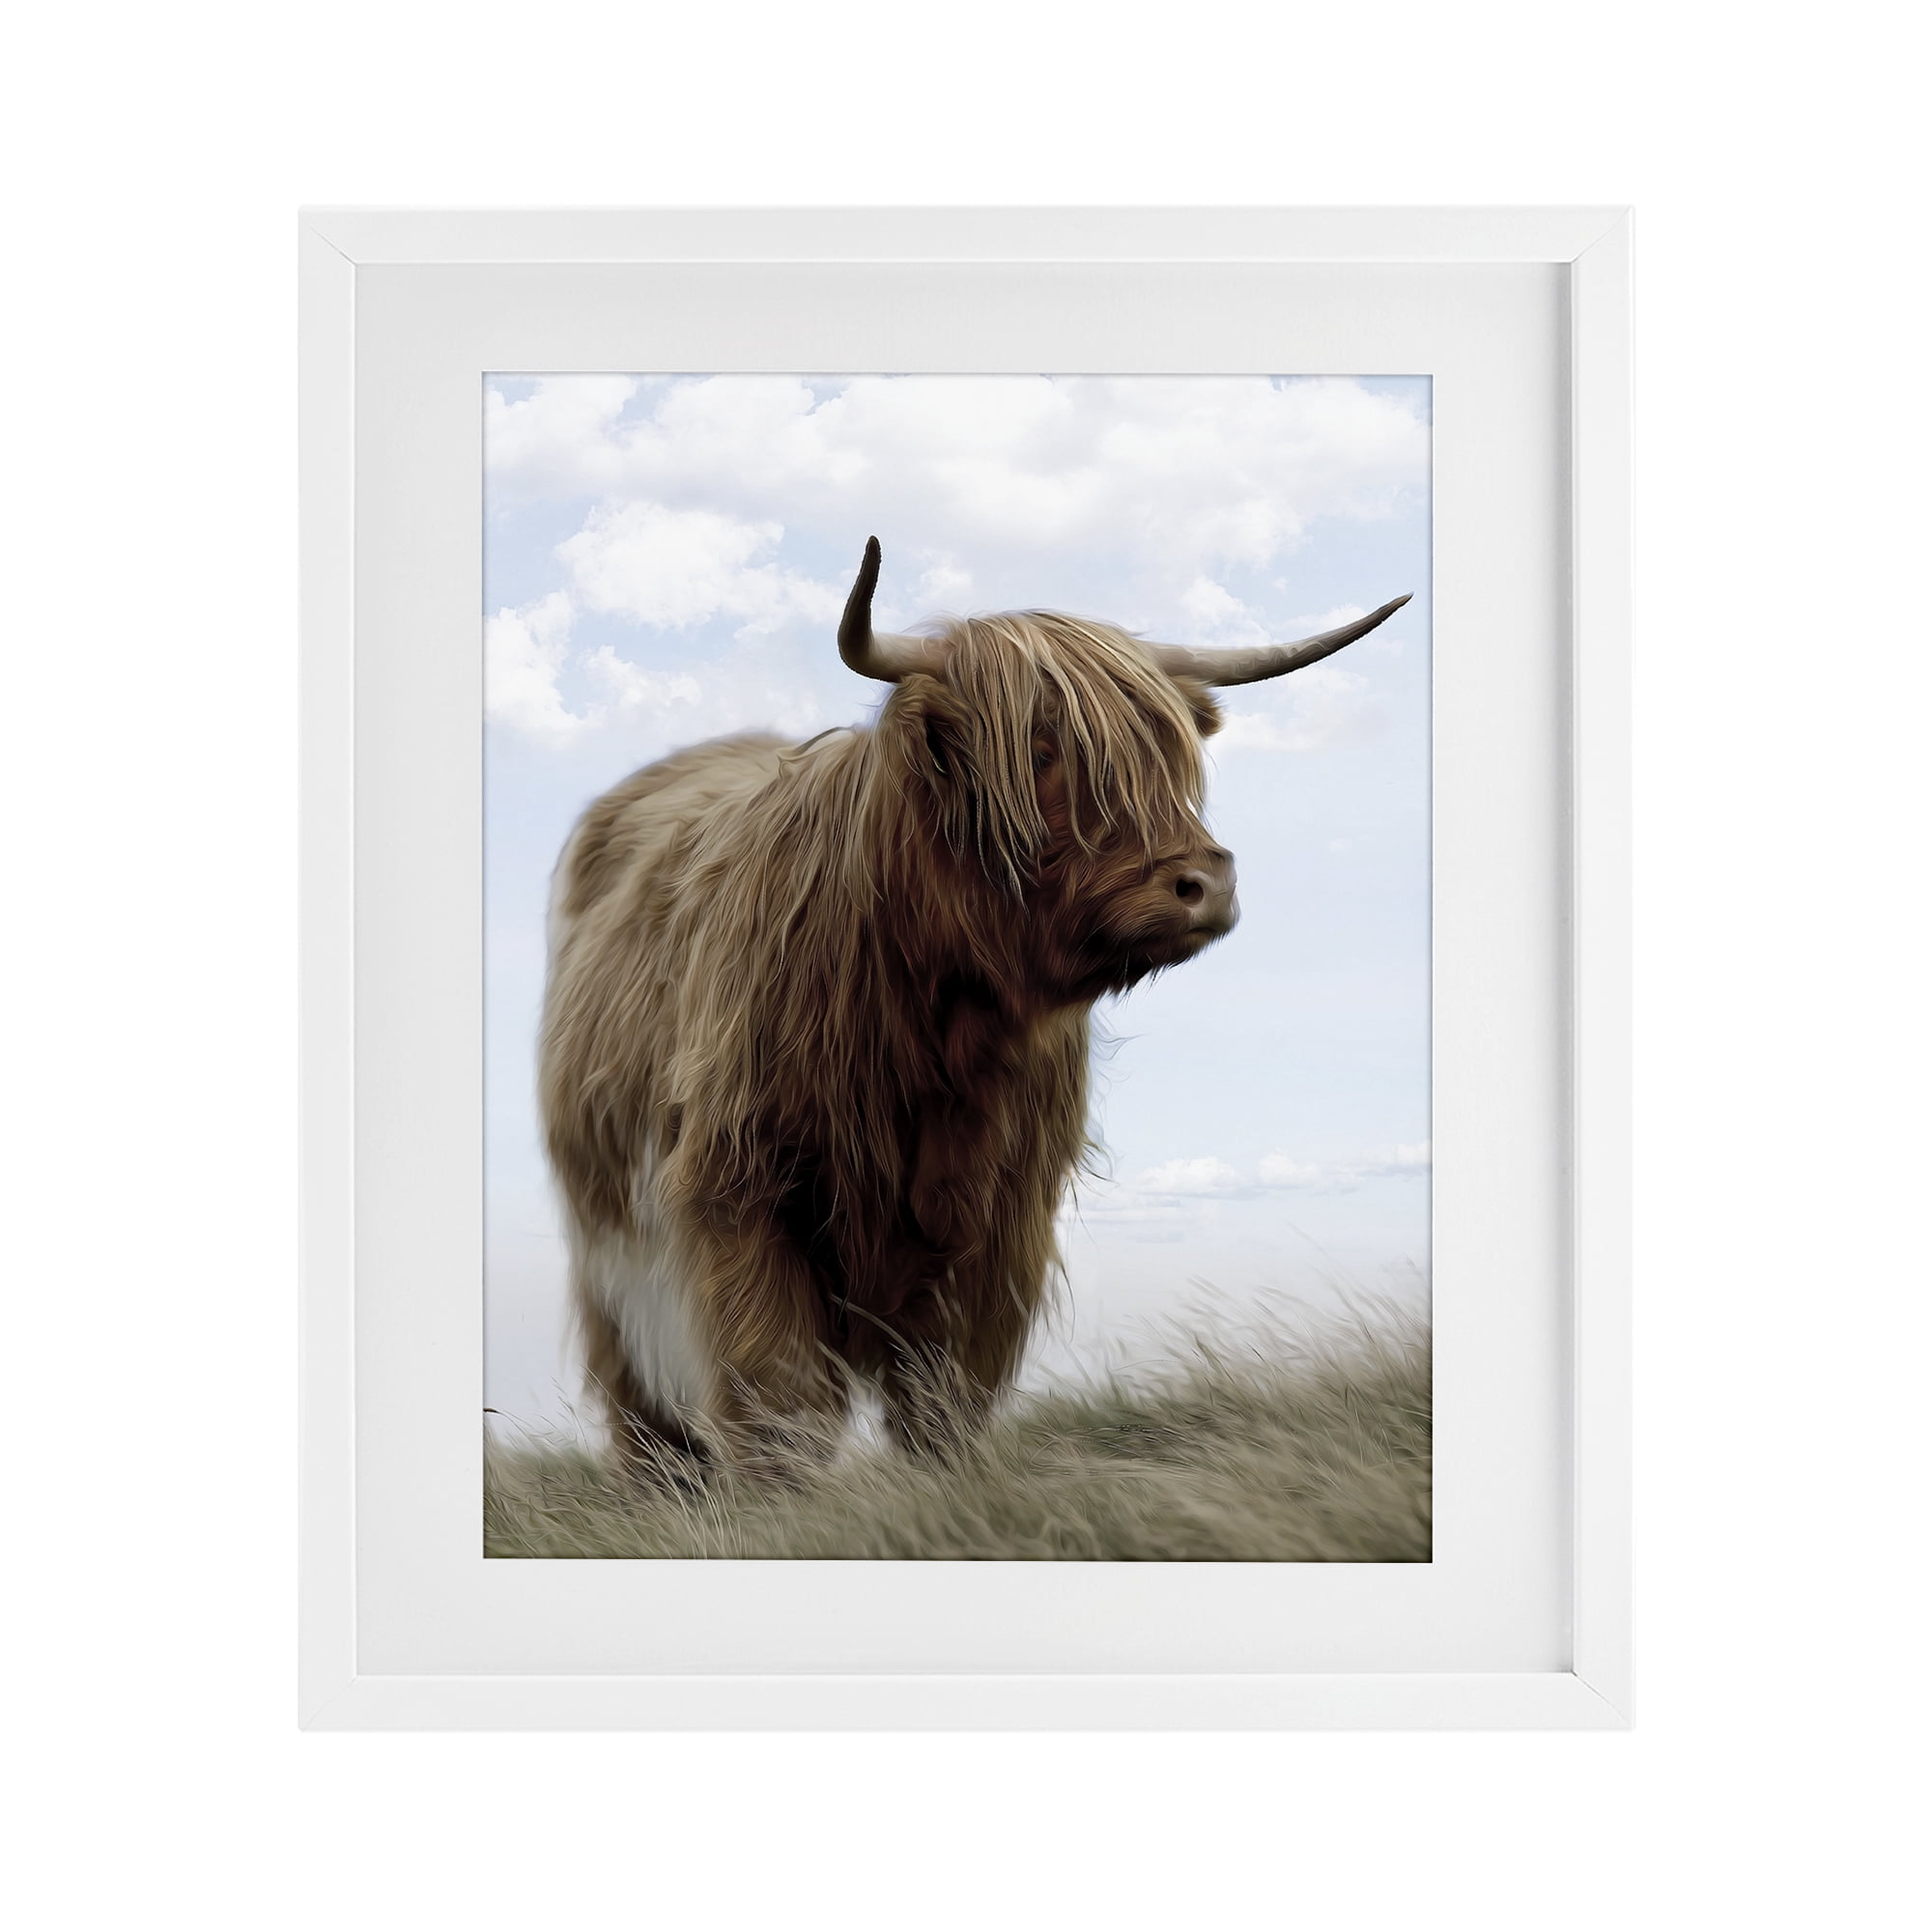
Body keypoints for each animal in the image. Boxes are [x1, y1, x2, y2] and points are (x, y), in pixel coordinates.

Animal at [539, 538, 1408, 1470]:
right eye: (1039, 749)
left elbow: (945, 1396)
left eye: (1167, 756)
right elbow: (776, 1395)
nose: (1205, 883)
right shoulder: (740, 1188)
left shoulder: (1000, 1224)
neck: (938, 1027)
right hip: (610, 1254)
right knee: (644, 1410)